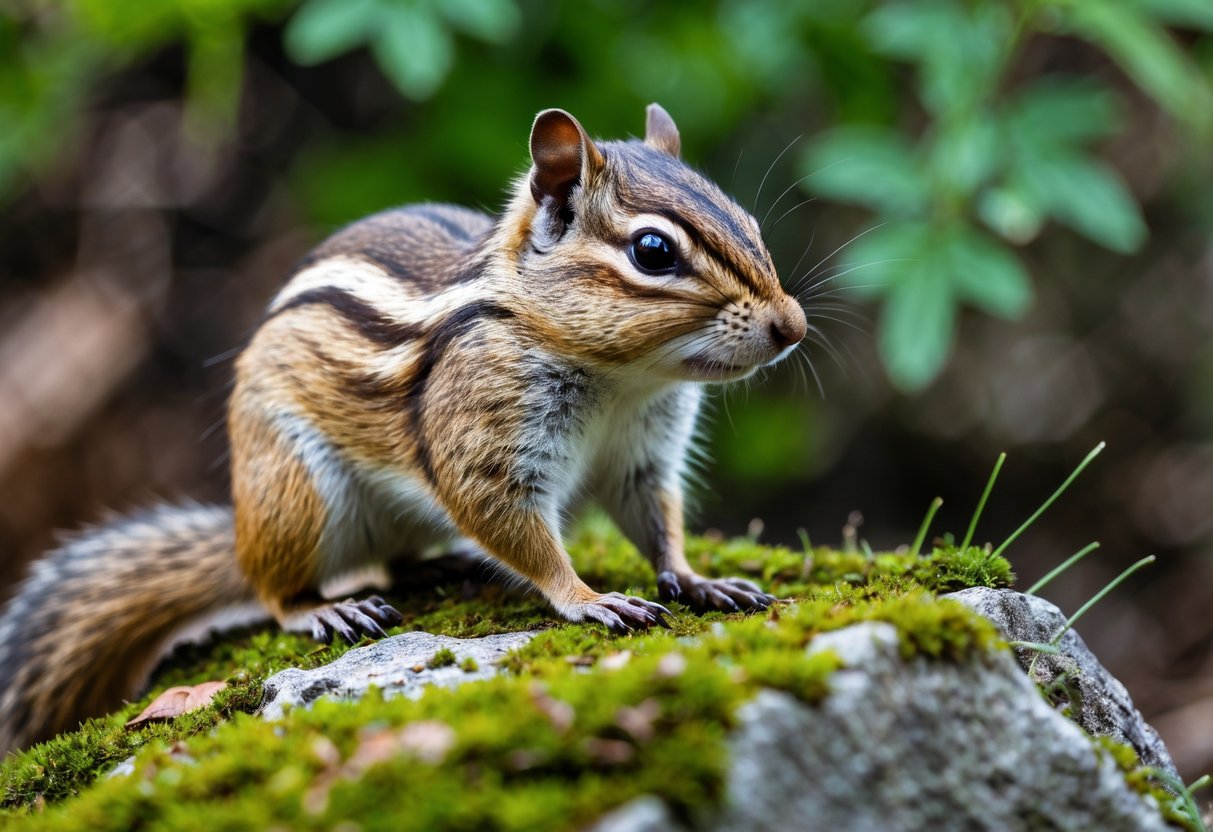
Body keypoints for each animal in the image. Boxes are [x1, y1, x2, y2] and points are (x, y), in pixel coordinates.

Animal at [0, 104, 807, 755]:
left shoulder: (644, 454)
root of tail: (241, 530)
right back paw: (329, 608)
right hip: (298, 494)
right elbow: (513, 525)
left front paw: (698, 580)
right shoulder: (485, 442)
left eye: (749, 224)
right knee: (274, 593)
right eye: (653, 252)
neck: (623, 376)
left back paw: (439, 566)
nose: (793, 326)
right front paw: (587, 596)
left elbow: (658, 520)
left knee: (392, 562)